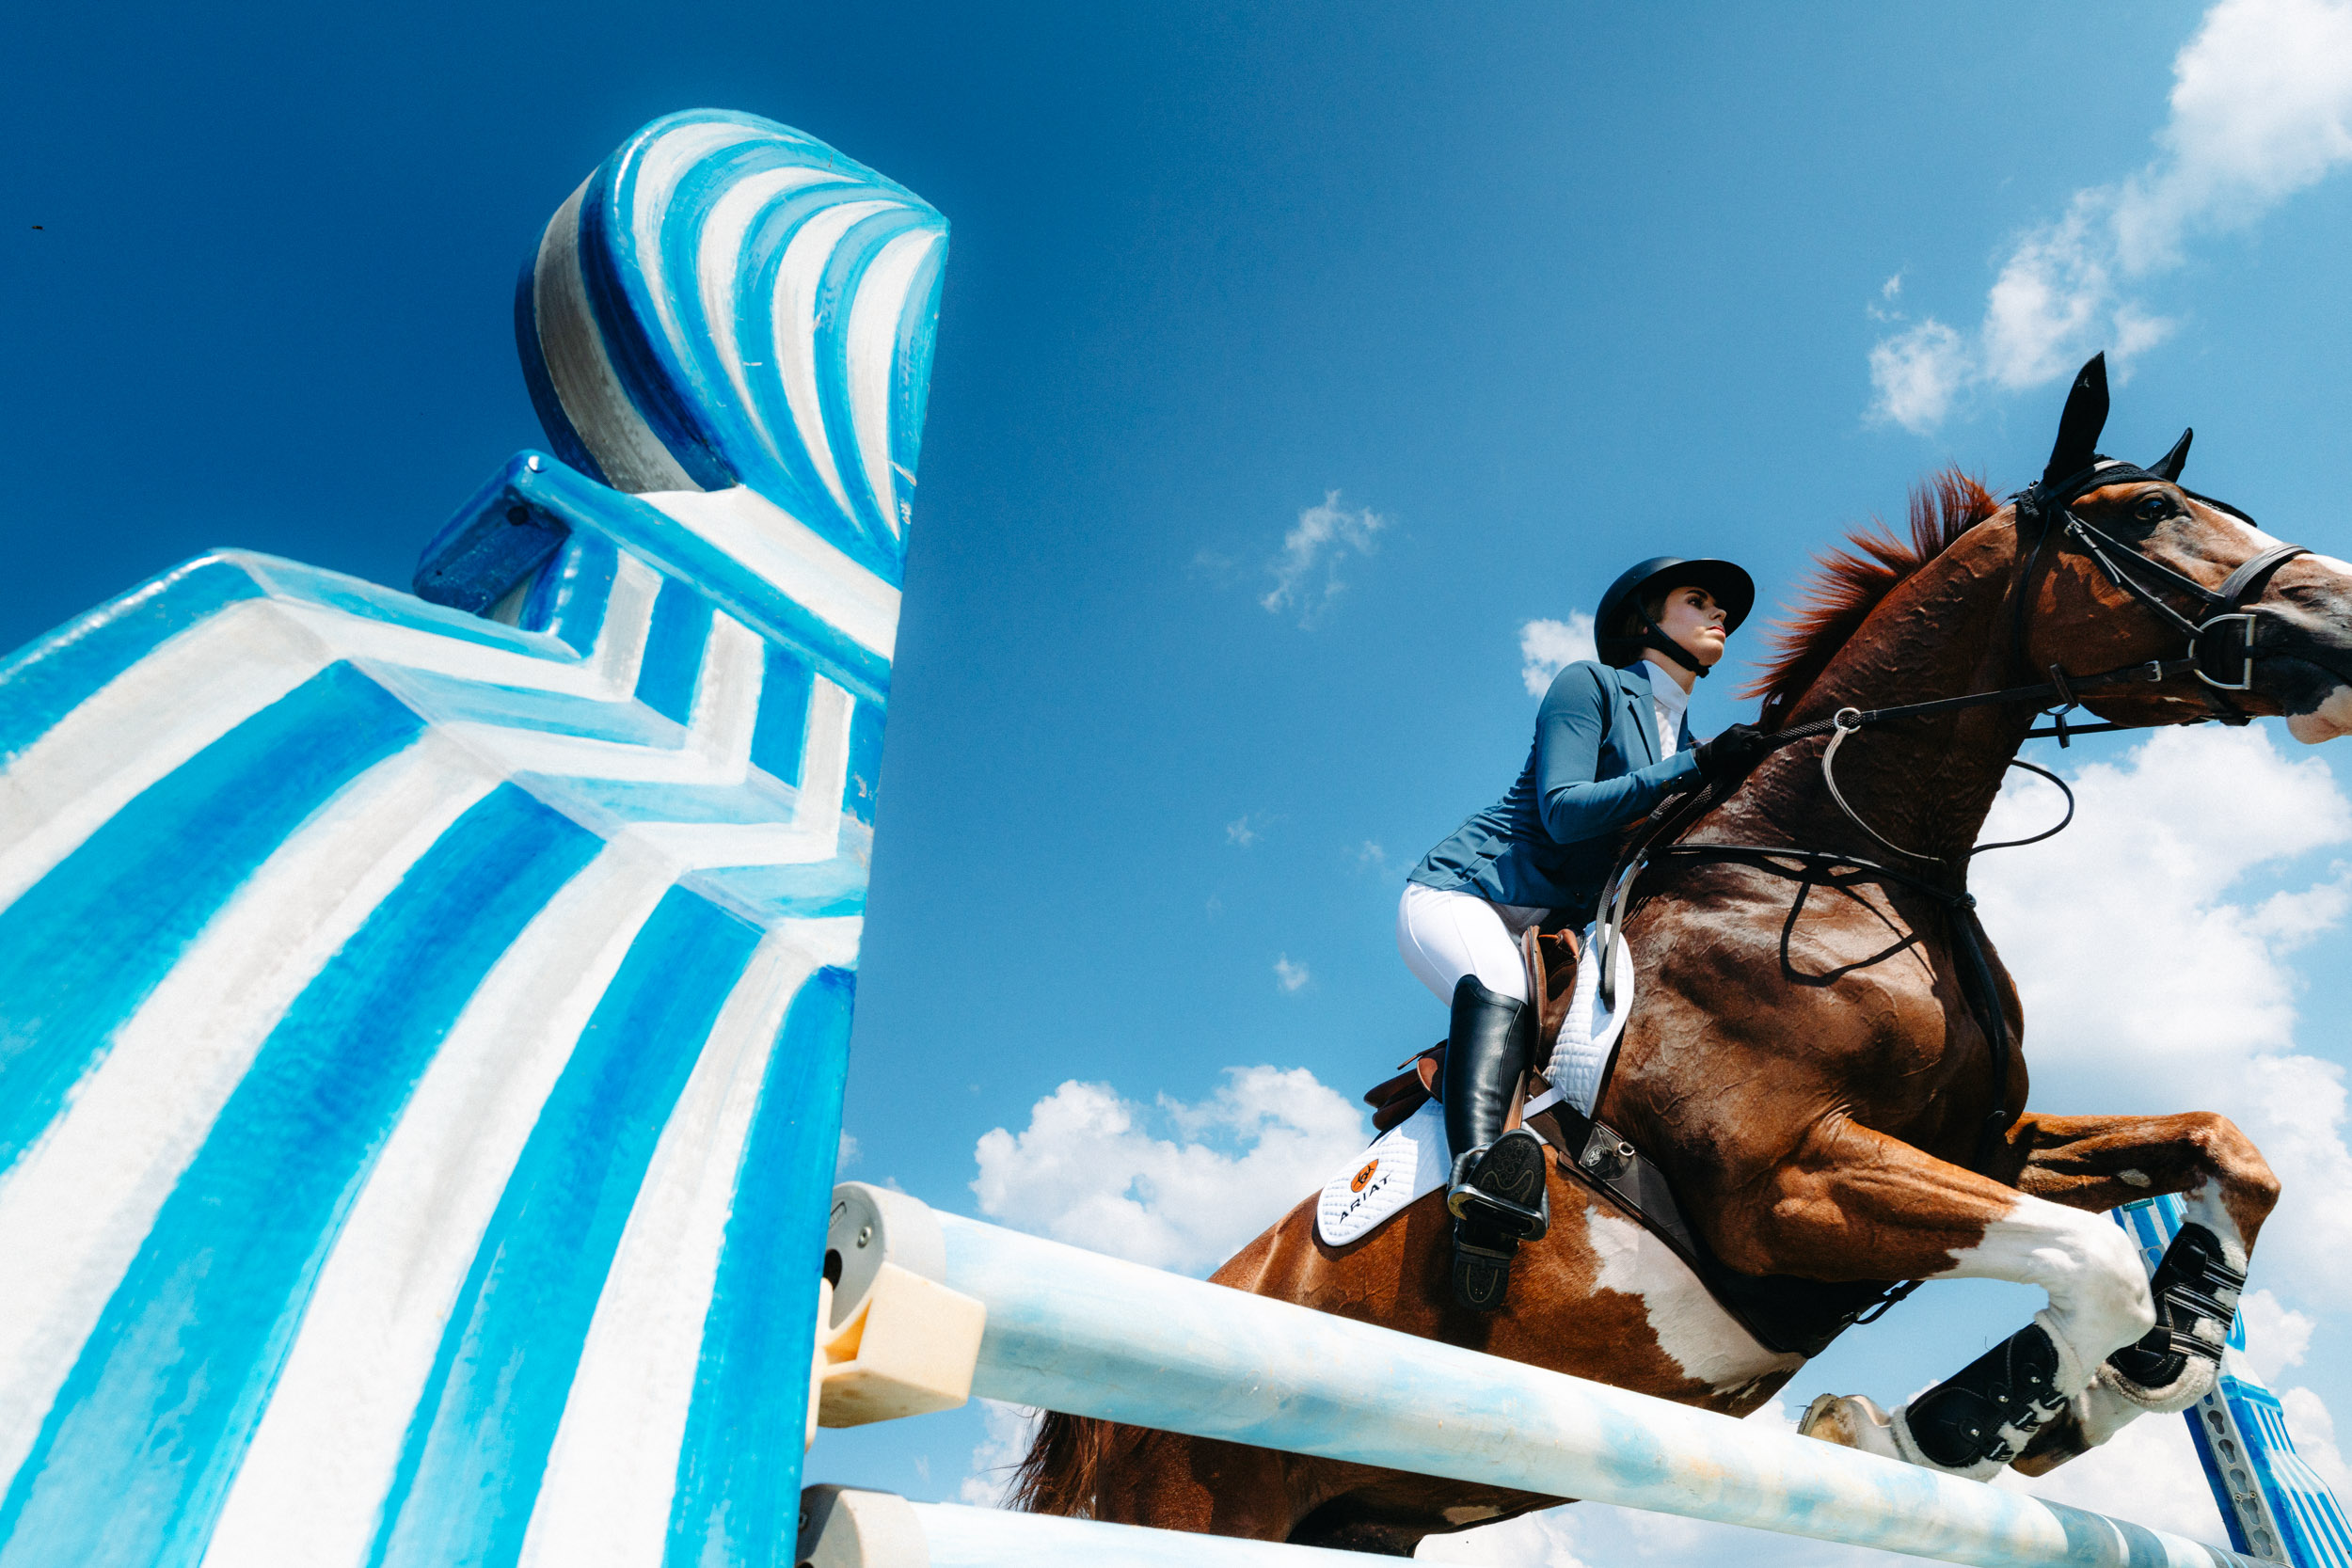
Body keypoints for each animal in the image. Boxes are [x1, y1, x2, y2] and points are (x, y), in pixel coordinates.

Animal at [1007, 357, 2352, 1555]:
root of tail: (1086, 1420)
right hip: (1190, 1502)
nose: (2344, 623)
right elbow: (2093, 1262)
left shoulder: (1978, 1145)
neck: (1837, 861)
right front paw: (1936, 1428)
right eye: (2147, 514)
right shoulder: (1788, 1185)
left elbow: (2225, 1153)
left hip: (1351, 1519)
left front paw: (2156, 1348)